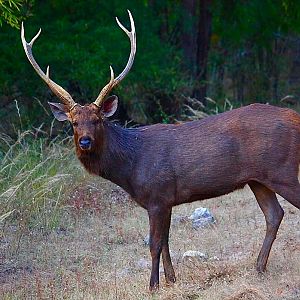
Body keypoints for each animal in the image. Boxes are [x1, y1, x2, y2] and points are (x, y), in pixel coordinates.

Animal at [21, 11, 300, 290]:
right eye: (73, 123)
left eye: (98, 119)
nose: (85, 142)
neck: (130, 167)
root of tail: (296, 118)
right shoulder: (166, 200)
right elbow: (166, 241)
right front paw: (171, 279)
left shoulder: (157, 195)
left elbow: (155, 244)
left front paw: (153, 285)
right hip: (258, 179)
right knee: (274, 214)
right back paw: (259, 267)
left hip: (282, 170)